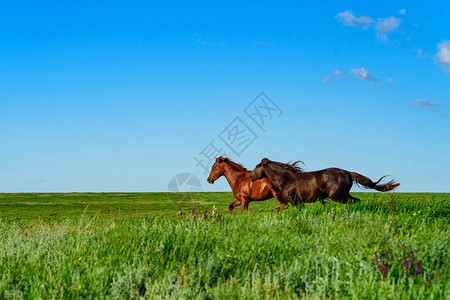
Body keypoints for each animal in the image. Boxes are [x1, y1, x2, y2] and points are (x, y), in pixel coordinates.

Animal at [250, 158, 400, 207]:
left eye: (257, 166)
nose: (251, 176)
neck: (285, 178)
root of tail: (348, 172)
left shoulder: (294, 201)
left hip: (337, 196)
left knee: (353, 202)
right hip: (344, 194)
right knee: (356, 201)